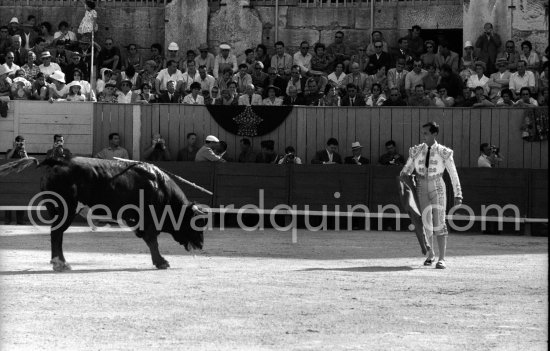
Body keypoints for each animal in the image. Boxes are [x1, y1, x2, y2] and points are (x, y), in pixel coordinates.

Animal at [37, 157, 205, 272]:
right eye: (196, 223)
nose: (201, 245)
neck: (161, 188)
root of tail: (59, 162)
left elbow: (150, 240)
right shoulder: (148, 221)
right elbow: (152, 240)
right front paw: (161, 262)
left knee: (56, 234)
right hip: (66, 211)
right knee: (57, 233)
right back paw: (61, 263)